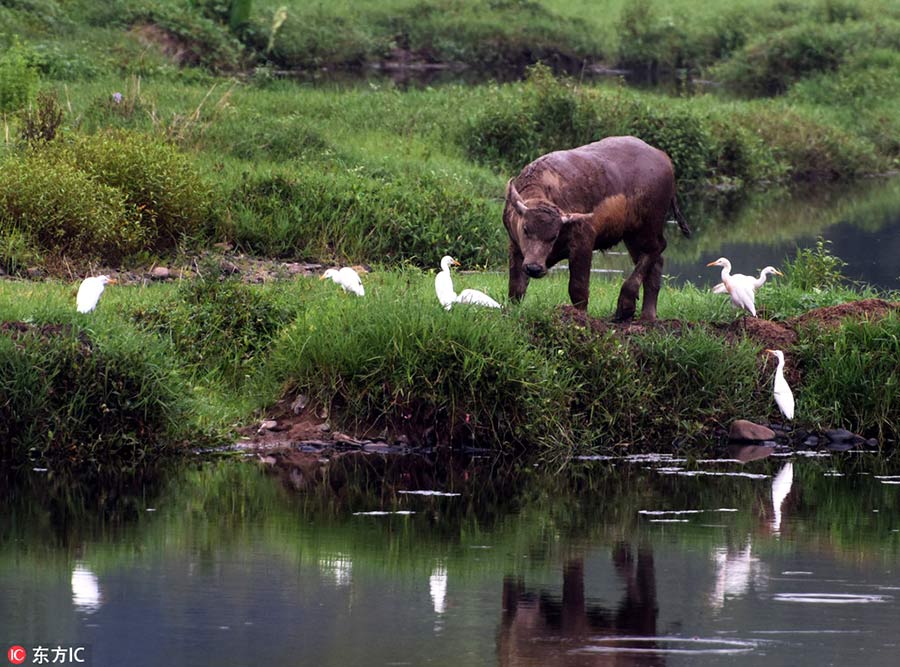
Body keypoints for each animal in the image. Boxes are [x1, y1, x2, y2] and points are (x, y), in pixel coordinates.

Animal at [506, 135, 688, 320]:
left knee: (657, 249)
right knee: (654, 262)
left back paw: (626, 305)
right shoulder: (515, 246)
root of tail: (663, 158)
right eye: (525, 229)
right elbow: (516, 286)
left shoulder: (583, 243)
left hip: (649, 227)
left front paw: (580, 316)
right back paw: (647, 316)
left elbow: (578, 288)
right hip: (632, 236)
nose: (534, 268)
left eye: (554, 236)